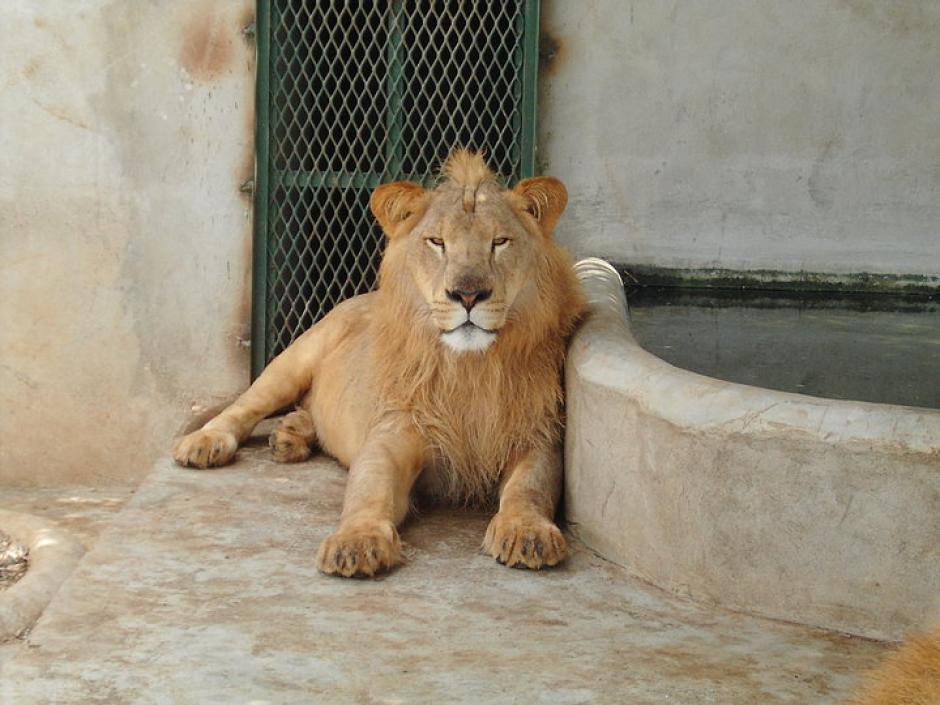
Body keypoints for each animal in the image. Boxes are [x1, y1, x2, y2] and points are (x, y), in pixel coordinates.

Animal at [173, 149, 586, 577]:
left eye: (499, 242)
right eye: (437, 242)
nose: (467, 295)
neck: (468, 367)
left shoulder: (536, 436)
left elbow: (529, 488)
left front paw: (527, 532)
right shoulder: (392, 433)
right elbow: (368, 489)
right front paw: (356, 541)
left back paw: (291, 435)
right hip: (292, 362)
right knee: (244, 407)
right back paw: (207, 442)